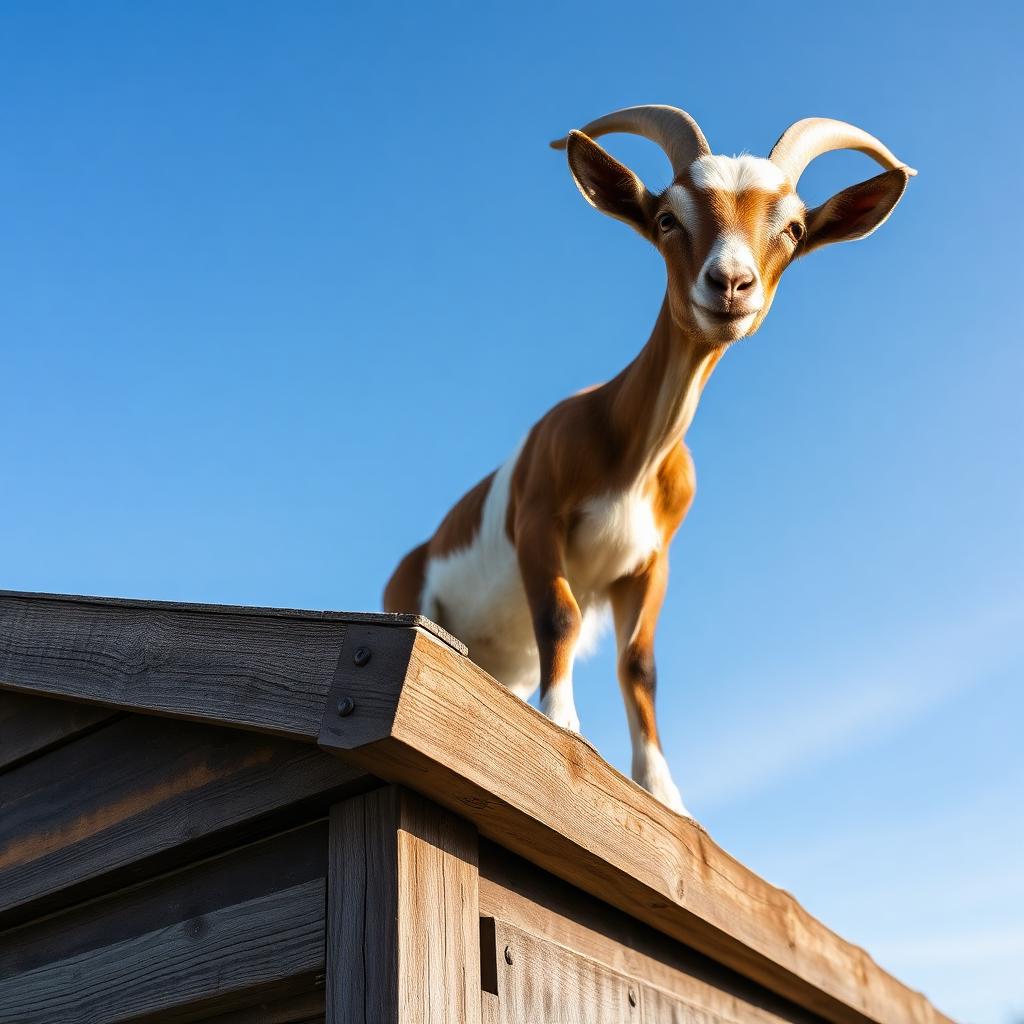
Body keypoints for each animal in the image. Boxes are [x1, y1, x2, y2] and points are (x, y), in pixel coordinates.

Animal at [384, 105, 915, 815]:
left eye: (794, 229)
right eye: (668, 218)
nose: (731, 284)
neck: (632, 454)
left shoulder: (649, 562)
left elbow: (640, 664)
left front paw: (665, 792)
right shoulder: (538, 516)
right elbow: (560, 614)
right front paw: (561, 724)